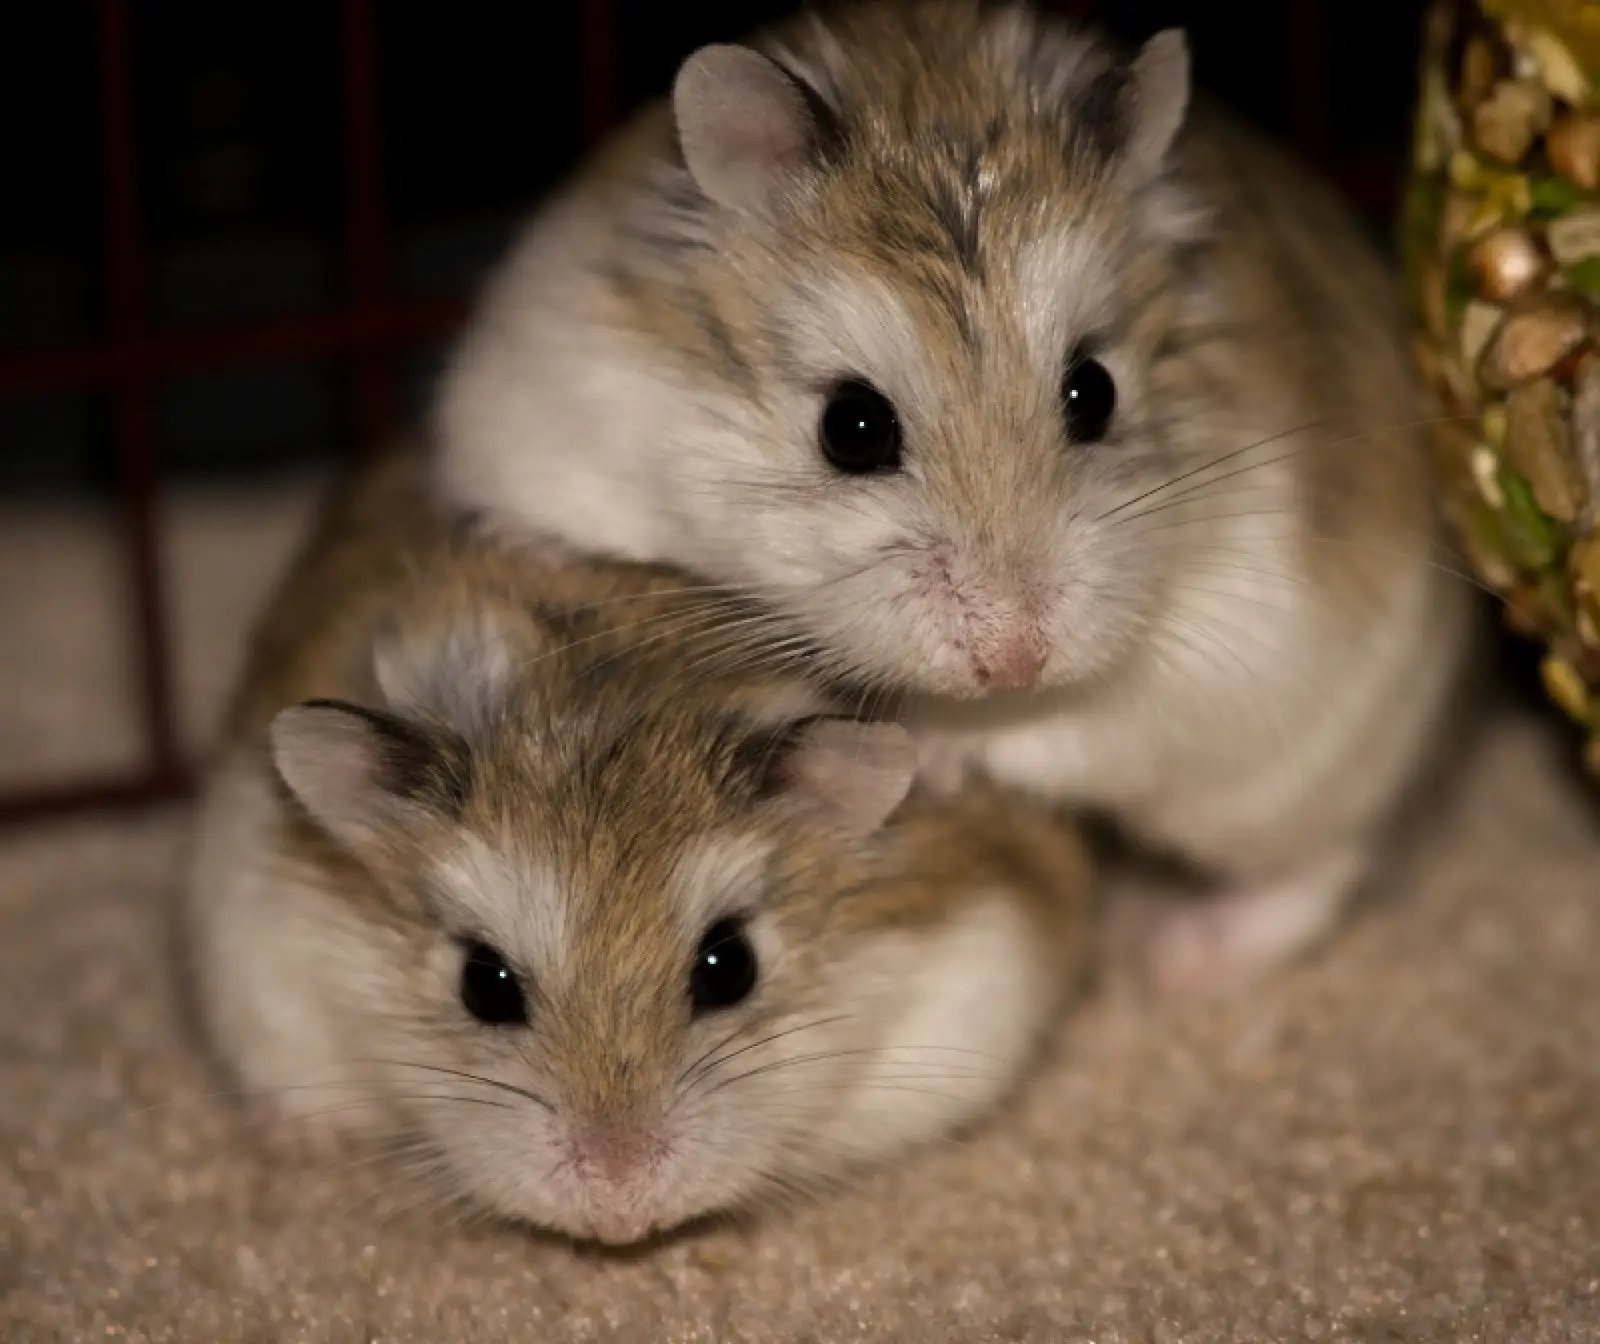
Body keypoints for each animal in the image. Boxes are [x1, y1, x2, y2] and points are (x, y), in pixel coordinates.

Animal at [429, 0, 1472, 995]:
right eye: (851, 426)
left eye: (1095, 392)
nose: (1015, 660)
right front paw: (525, 544)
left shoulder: (1205, 655)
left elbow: (1069, 728)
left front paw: (926, 748)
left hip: (1311, 763)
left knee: (1324, 861)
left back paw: (1181, 960)